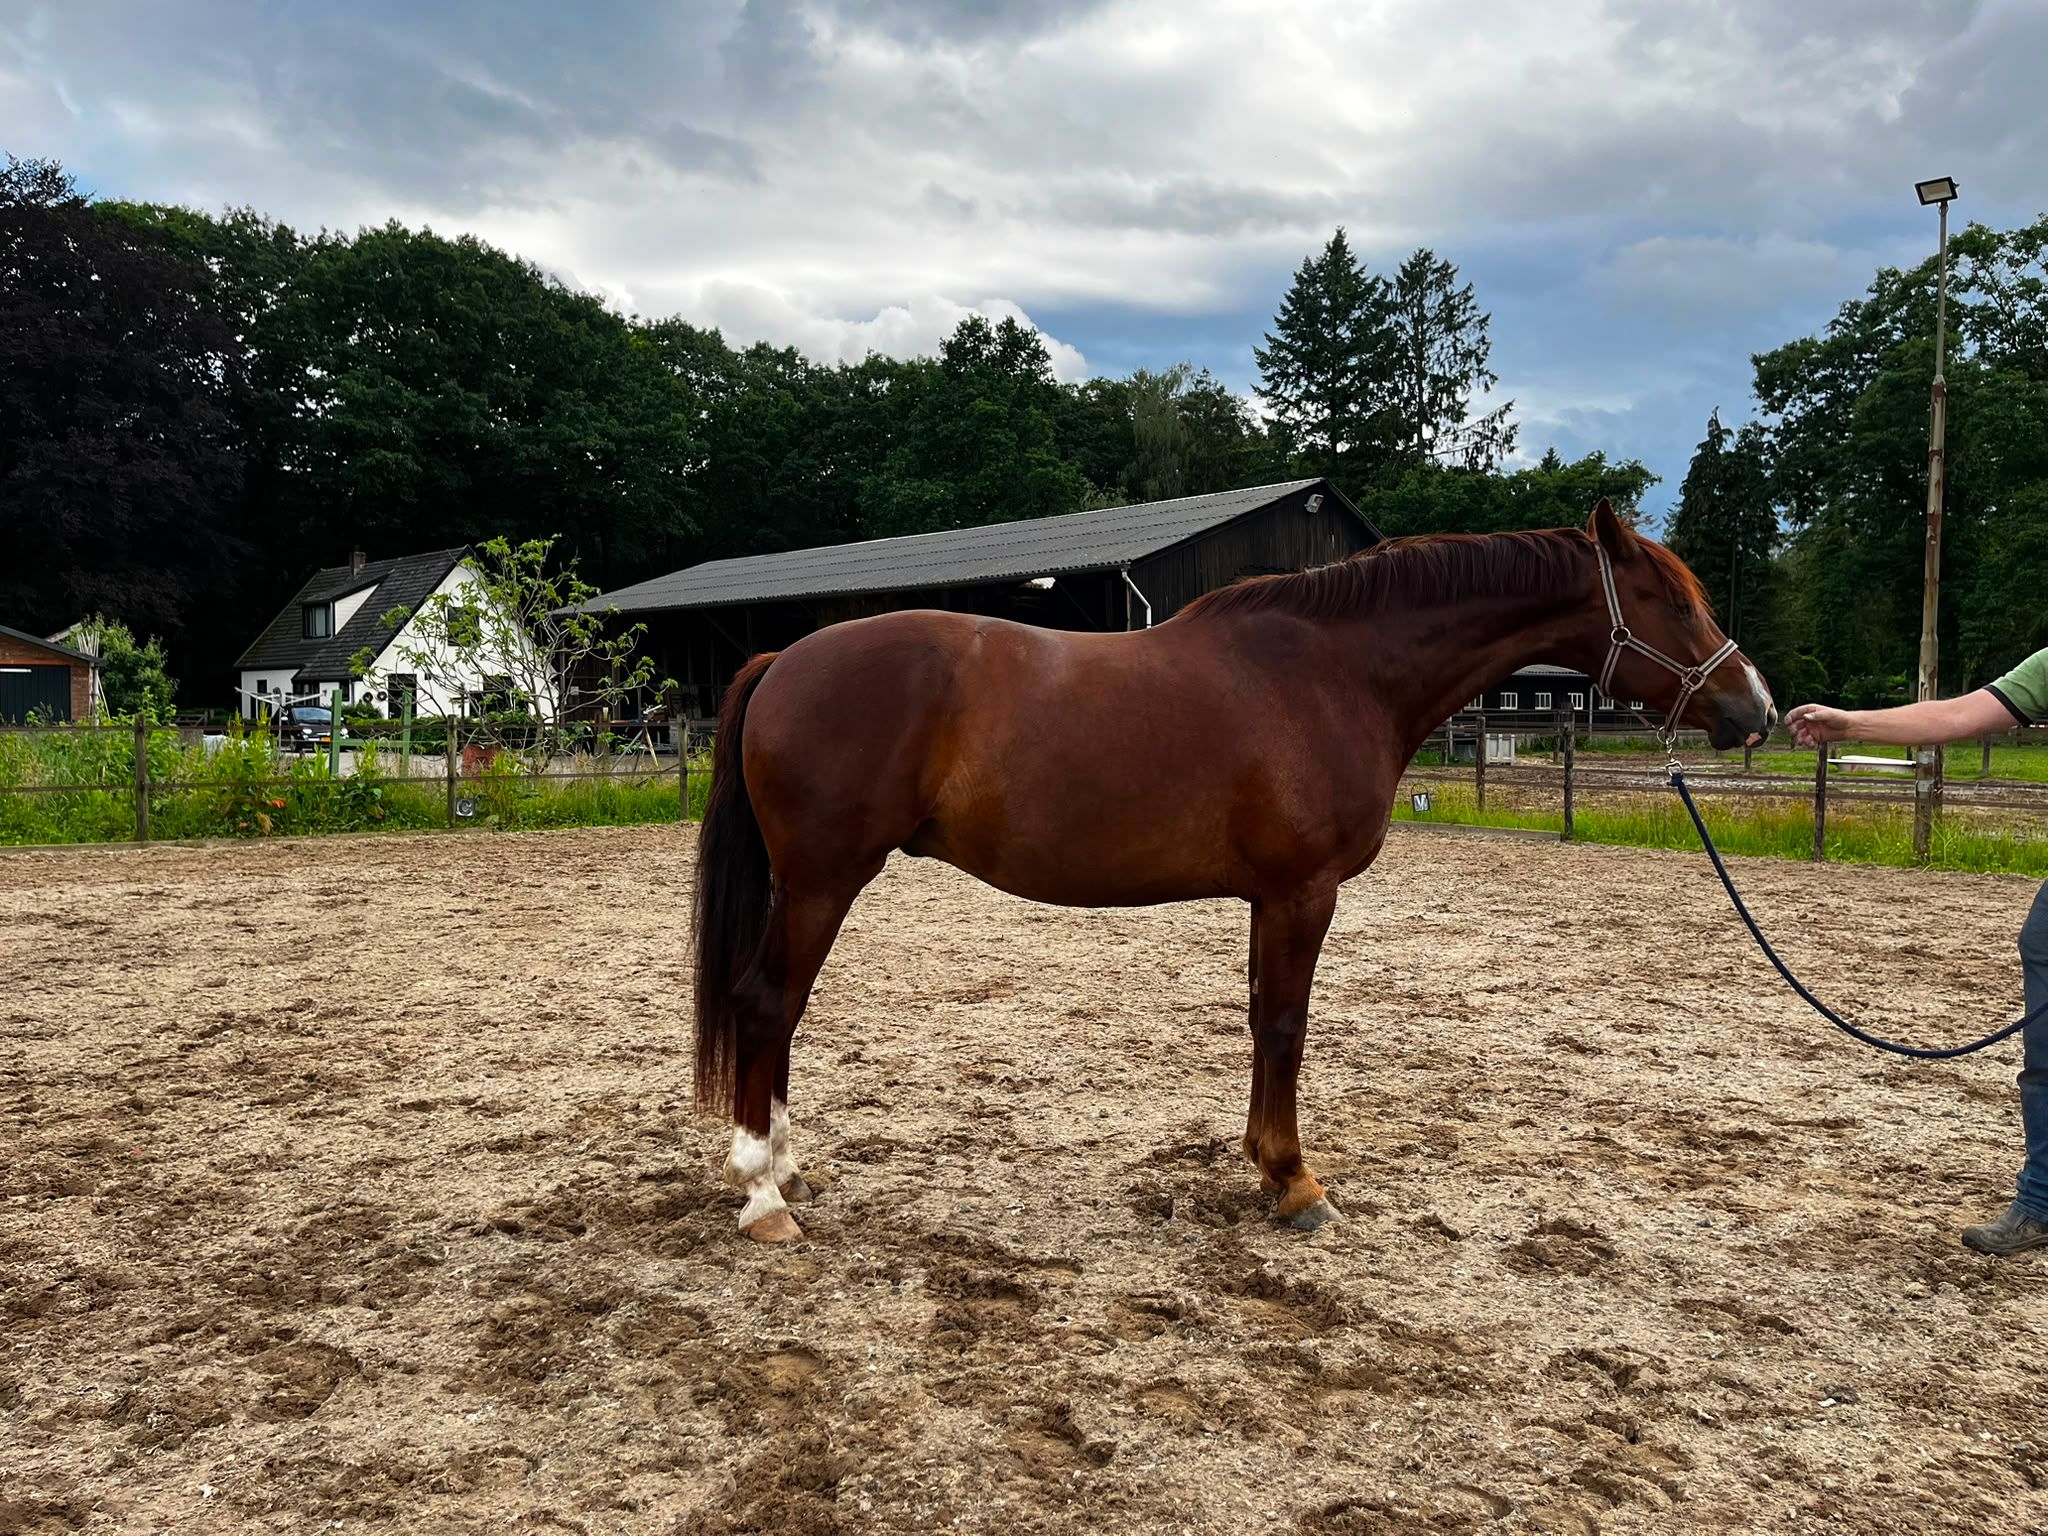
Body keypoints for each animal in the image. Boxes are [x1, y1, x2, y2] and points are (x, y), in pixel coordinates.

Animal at [692, 501, 1777, 1242]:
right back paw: (763, 1196)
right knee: (767, 1004)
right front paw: (1296, 1183)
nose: (1756, 709)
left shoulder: (1269, 896)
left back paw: (789, 1170)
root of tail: (784, 657)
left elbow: (1262, 1022)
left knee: (777, 1013)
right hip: (824, 881)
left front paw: (1265, 1165)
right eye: (1670, 602)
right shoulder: (1303, 891)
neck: (1335, 672)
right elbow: (1288, 1027)